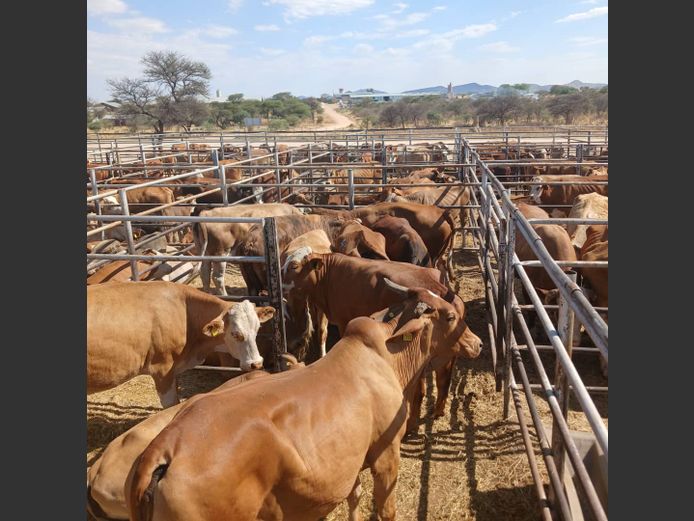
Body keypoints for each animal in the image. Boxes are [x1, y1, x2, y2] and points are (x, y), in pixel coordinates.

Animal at [126, 288, 480, 521]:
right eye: (450, 315)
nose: (476, 343)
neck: (386, 357)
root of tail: (165, 450)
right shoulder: (386, 452)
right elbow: (386, 508)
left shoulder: (351, 460)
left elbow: (355, 495)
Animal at [281, 251, 482, 431]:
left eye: (294, 266)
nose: (281, 286)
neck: (331, 273)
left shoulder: (344, 321)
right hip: (448, 356)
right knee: (443, 382)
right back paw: (437, 412)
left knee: (421, 391)